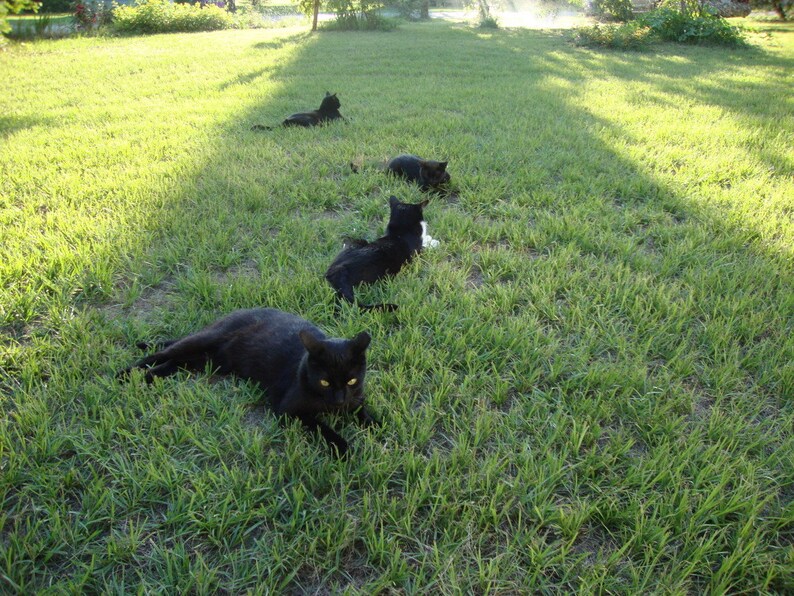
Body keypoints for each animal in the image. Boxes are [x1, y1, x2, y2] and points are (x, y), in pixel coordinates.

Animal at [118, 308, 378, 456]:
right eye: (324, 382)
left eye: (352, 380)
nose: (339, 400)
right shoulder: (288, 411)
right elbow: (321, 427)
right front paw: (342, 447)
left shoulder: (356, 399)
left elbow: (362, 412)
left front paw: (375, 424)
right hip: (203, 341)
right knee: (162, 353)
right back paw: (127, 373)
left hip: (208, 362)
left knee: (174, 362)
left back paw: (147, 377)